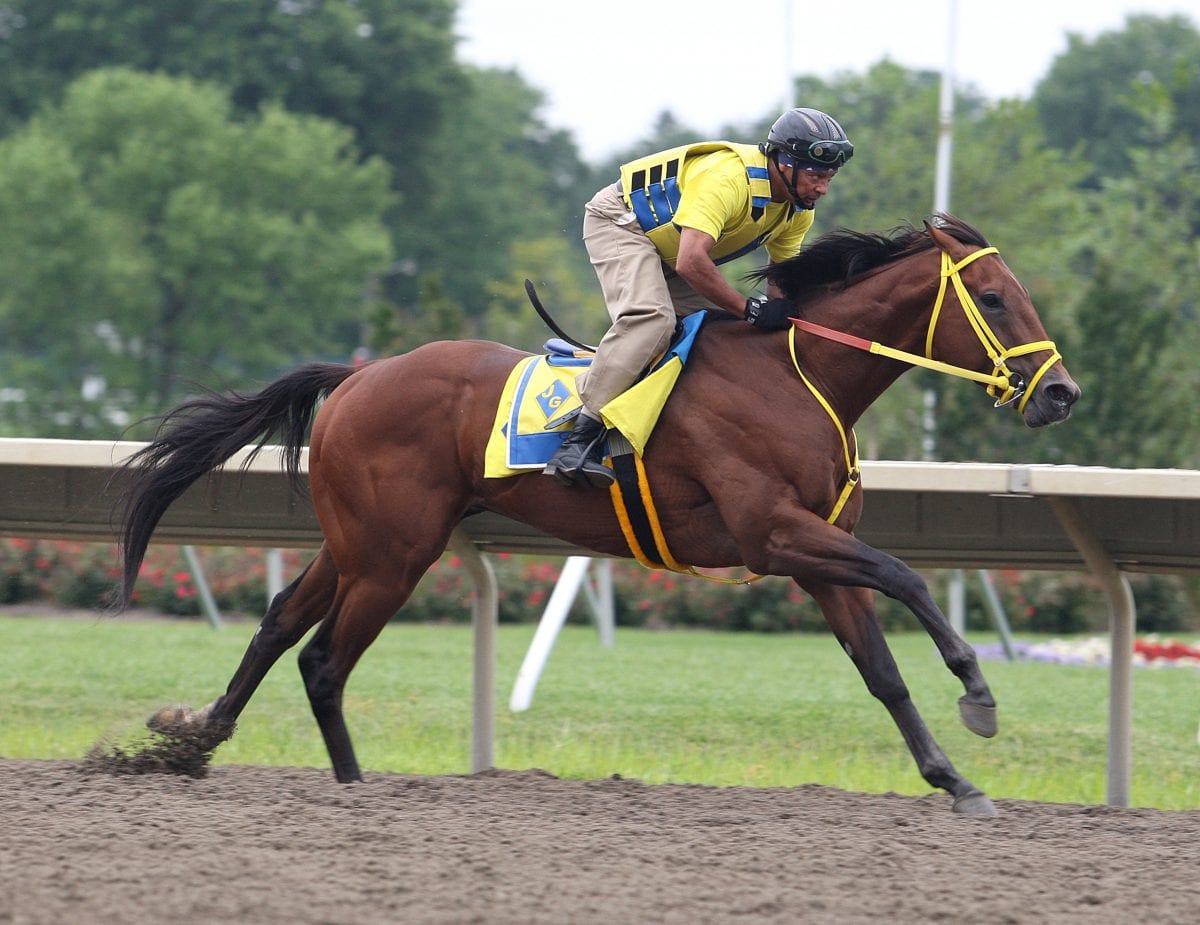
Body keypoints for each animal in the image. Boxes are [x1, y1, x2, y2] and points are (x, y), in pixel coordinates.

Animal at [117, 213, 1084, 815]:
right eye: (994, 298)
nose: (1060, 394)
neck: (793, 374)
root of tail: (356, 377)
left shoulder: (816, 551)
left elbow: (880, 670)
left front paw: (955, 779)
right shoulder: (776, 535)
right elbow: (907, 575)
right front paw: (979, 692)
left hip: (359, 543)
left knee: (281, 624)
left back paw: (198, 743)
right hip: (394, 553)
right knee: (322, 658)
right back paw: (346, 786)